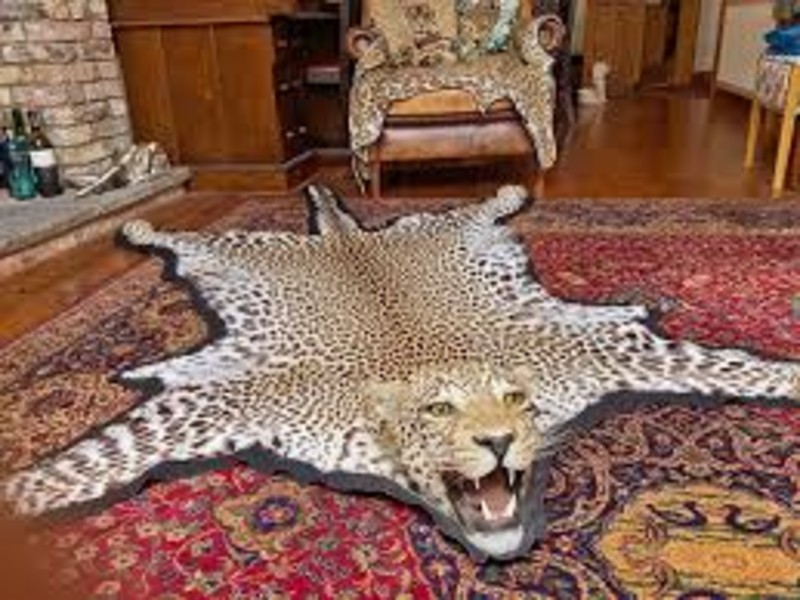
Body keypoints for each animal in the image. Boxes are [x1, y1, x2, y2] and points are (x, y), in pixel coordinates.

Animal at [2, 184, 798, 561]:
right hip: (242, 246)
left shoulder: (607, 352)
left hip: (437, 226)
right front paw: (25, 495)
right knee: (188, 237)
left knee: (476, 207)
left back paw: (513, 192)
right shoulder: (221, 402)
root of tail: (347, 237)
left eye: (517, 400)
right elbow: (86, 468)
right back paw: (137, 223)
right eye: (437, 412)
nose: (499, 442)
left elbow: (724, 365)